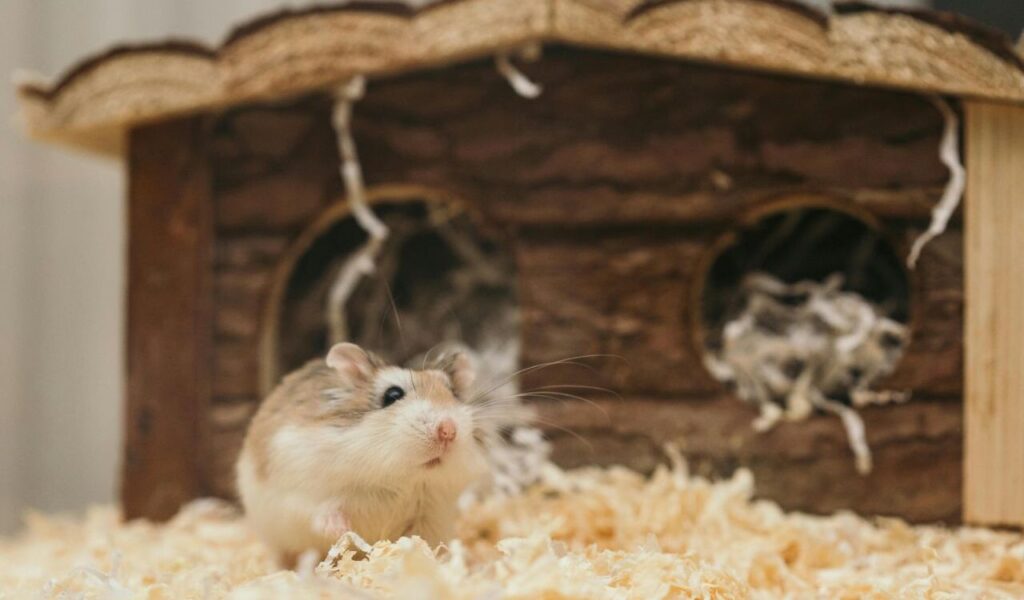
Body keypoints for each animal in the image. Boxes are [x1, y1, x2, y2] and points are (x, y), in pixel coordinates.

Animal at [236, 342, 490, 560]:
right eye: (393, 395)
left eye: (454, 394)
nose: (448, 430)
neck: (401, 479)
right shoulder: (300, 490)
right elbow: (321, 511)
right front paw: (341, 531)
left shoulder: (430, 515)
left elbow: (420, 541)